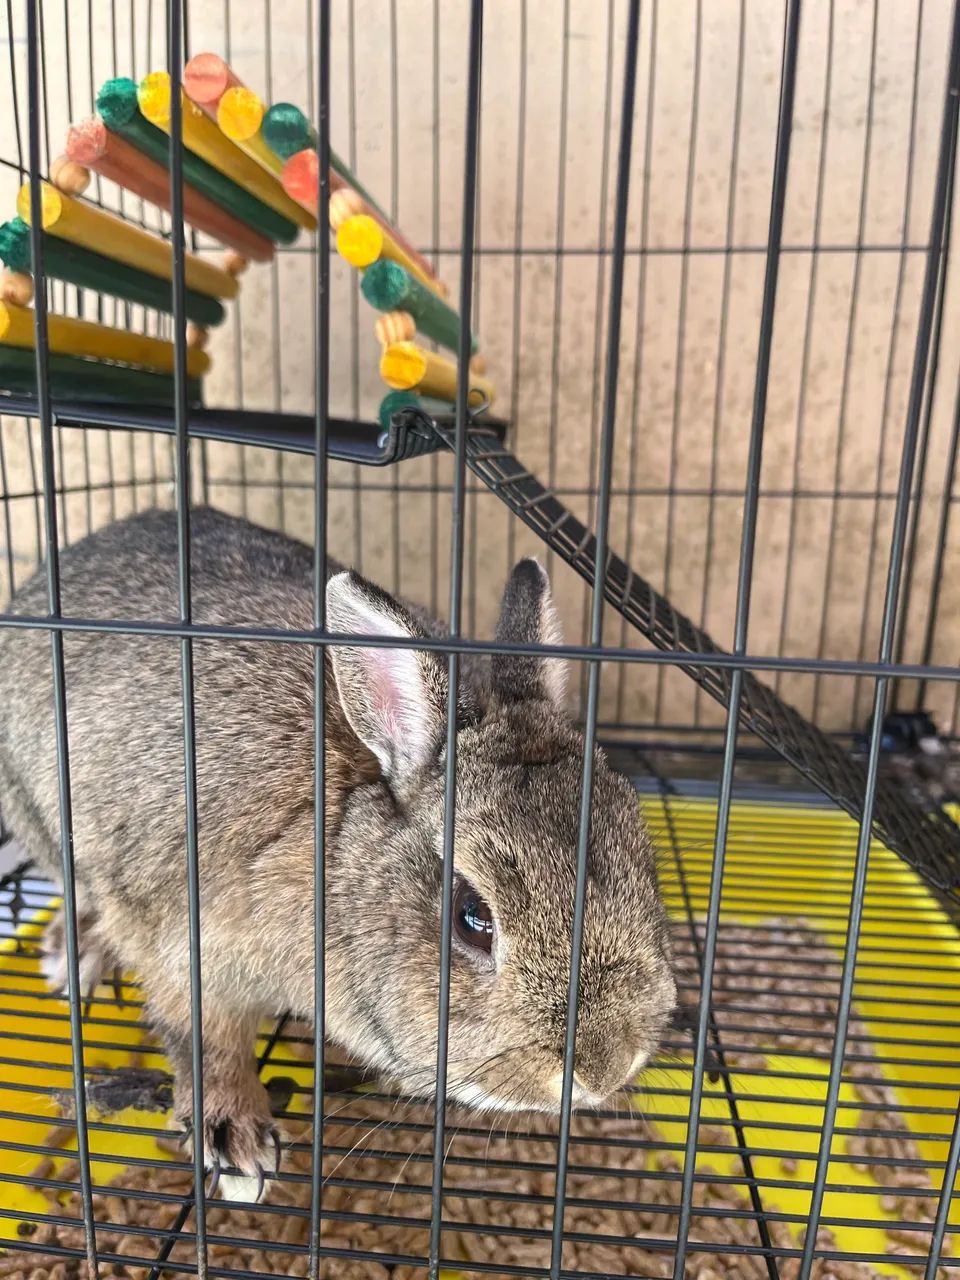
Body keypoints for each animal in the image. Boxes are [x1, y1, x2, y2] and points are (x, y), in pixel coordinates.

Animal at [0, 506, 677, 1197]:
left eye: (642, 865)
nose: (607, 1067)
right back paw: (73, 954)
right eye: (472, 918)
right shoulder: (181, 941)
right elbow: (205, 1039)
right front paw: (236, 1142)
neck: (341, 846)